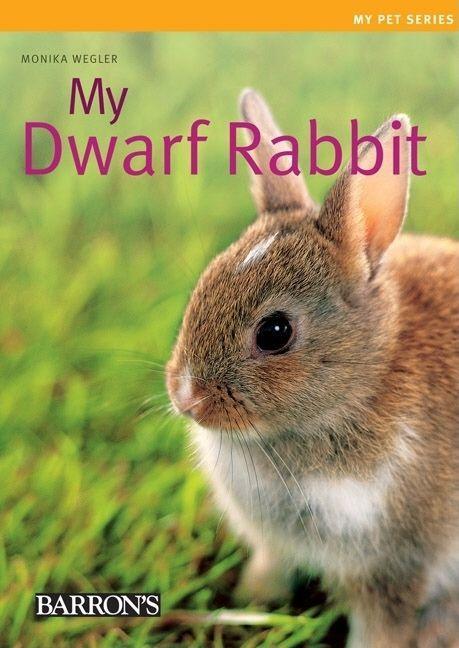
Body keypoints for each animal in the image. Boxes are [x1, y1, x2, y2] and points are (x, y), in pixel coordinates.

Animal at [166, 89, 459, 648]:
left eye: (275, 332)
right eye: (203, 285)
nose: (187, 399)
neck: (364, 385)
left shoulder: (395, 567)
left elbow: (381, 628)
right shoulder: (275, 545)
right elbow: (269, 570)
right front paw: (247, 602)